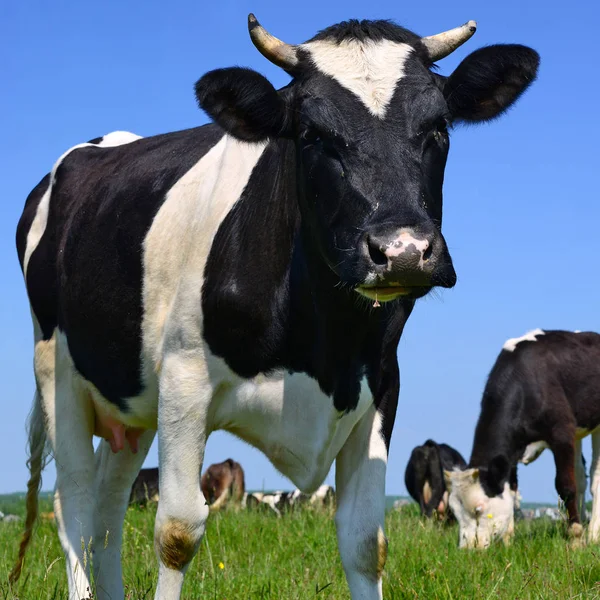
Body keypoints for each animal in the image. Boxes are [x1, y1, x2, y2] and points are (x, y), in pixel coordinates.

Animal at [10, 10, 540, 600]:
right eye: (311, 134)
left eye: (439, 128)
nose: (403, 252)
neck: (324, 345)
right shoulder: (184, 380)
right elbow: (177, 530)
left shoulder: (382, 387)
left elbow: (365, 541)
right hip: (57, 373)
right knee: (76, 504)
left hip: (132, 400)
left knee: (107, 506)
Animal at [442, 330, 596, 552]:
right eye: (454, 512)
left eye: (478, 509)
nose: (467, 550)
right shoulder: (511, 452)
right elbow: (513, 491)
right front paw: (508, 539)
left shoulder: (562, 433)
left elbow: (566, 486)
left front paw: (576, 538)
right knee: (581, 476)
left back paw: (592, 534)